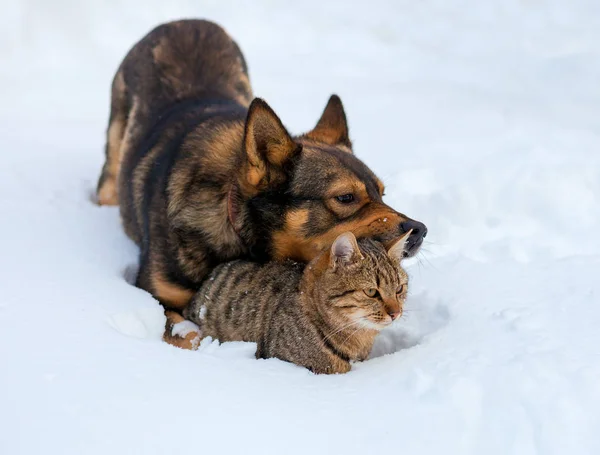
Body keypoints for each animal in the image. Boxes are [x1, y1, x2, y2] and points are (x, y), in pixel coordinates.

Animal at [96, 18, 426, 350]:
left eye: (382, 193)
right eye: (345, 197)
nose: (420, 230)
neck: (234, 222)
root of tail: (185, 22)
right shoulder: (157, 298)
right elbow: (191, 335)